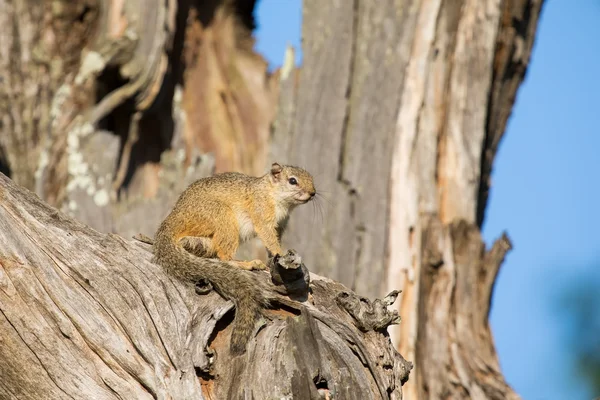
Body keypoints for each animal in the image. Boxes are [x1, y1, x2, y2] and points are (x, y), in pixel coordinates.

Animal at [152, 161, 316, 354]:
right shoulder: (262, 213)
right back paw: (246, 264)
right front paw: (282, 253)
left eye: (311, 178)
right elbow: (268, 237)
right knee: (224, 255)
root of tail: (173, 221)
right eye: (292, 181)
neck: (272, 193)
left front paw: (273, 259)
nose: (313, 193)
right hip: (221, 216)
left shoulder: (280, 226)